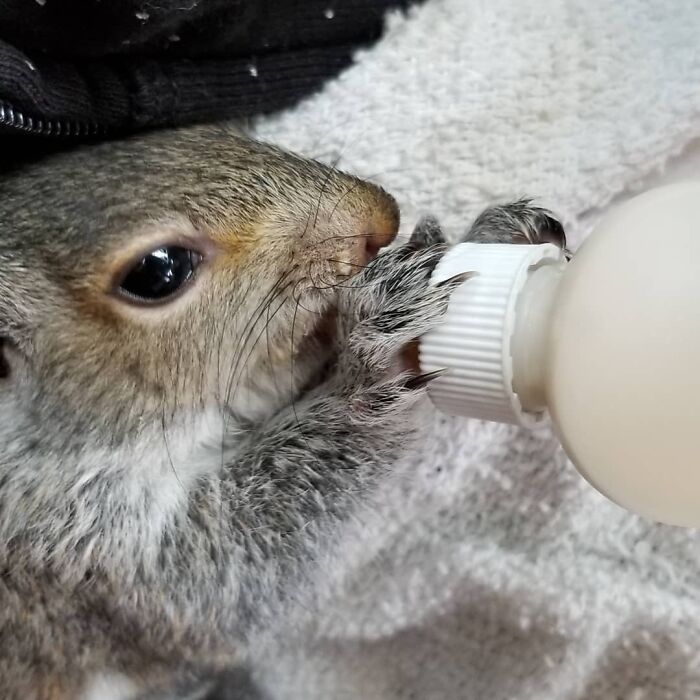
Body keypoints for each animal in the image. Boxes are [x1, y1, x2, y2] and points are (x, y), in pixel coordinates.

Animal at [0, 123, 566, 700]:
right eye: (158, 272)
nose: (380, 219)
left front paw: (480, 234)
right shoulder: (80, 560)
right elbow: (225, 577)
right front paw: (370, 365)